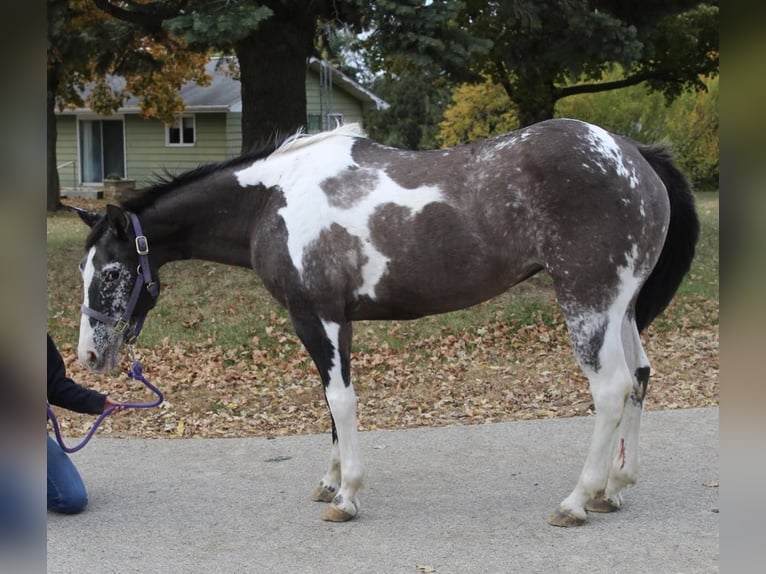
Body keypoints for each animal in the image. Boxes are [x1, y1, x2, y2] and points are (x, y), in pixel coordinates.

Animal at [73, 119, 704, 528]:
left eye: (111, 271)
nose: (89, 356)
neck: (273, 201)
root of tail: (631, 151)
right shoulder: (337, 321)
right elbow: (332, 403)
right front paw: (331, 480)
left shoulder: (317, 317)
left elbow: (341, 400)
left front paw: (347, 496)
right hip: (622, 308)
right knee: (640, 378)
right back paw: (614, 490)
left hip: (589, 303)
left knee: (611, 389)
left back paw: (576, 501)